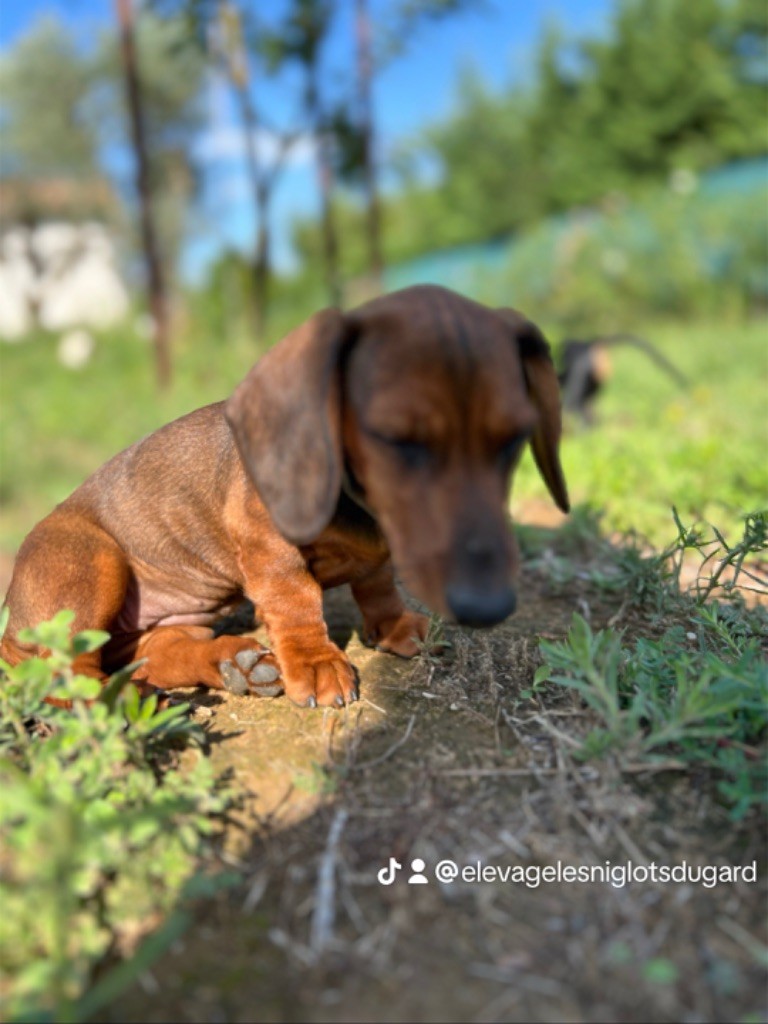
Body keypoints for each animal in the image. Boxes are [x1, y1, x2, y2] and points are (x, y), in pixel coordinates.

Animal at [0, 284, 569, 708]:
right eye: (397, 439)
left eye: (515, 439)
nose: (488, 606)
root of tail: (11, 625)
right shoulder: (266, 545)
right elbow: (297, 598)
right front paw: (315, 663)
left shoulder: (378, 556)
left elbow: (378, 582)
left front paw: (394, 625)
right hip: (95, 561)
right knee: (65, 670)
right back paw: (127, 697)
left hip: (173, 624)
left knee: (158, 652)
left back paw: (234, 664)